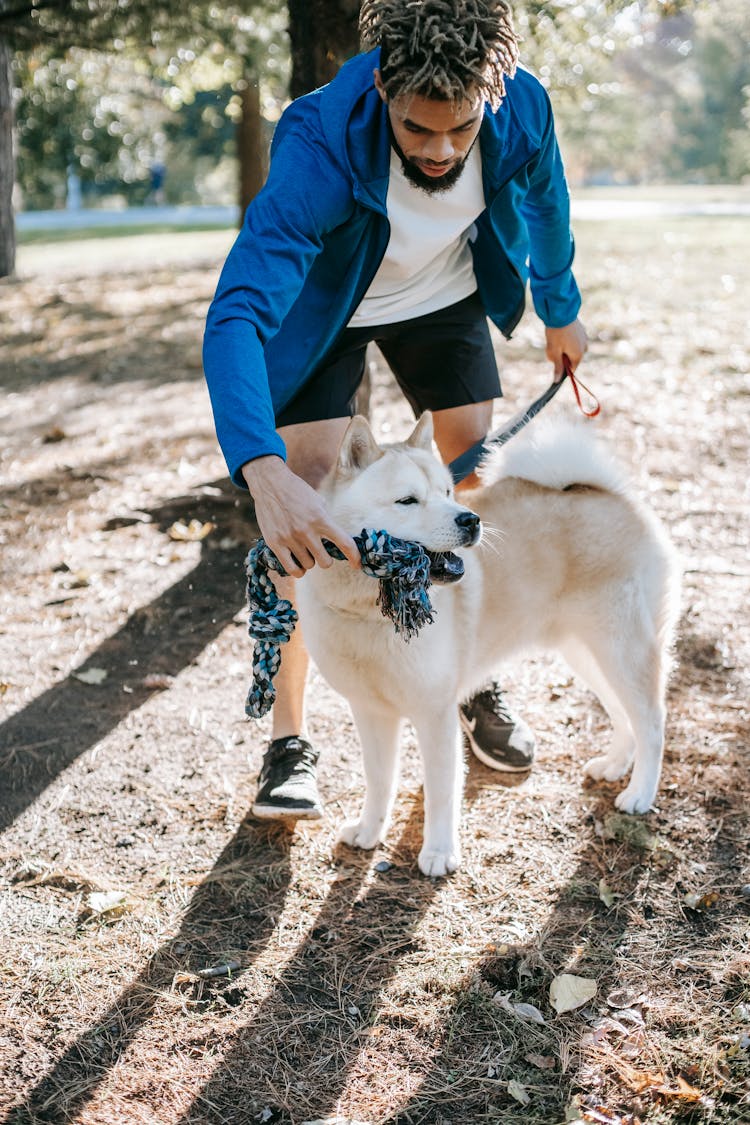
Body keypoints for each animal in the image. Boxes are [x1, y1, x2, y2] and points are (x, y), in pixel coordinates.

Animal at [294, 414, 679, 877]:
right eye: (407, 500)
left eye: (446, 492)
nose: (470, 520)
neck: (370, 611)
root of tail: (608, 493)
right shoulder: (370, 712)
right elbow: (379, 780)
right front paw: (370, 832)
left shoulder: (434, 714)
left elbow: (441, 790)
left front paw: (439, 852)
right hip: (587, 654)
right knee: (624, 715)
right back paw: (616, 764)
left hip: (622, 650)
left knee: (652, 722)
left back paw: (640, 793)